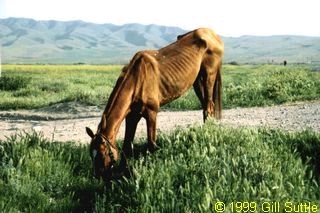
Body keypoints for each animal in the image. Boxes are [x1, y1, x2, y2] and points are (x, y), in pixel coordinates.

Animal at [86, 27, 224, 180]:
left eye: (103, 153)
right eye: (91, 154)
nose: (99, 177)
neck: (137, 79)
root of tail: (213, 34)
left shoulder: (151, 113)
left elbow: (151, 144)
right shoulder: (132, 116)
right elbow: (127, 145)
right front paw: (124, 172)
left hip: (208, 76)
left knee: (209, 107)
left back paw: (208, 132)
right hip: (197, 81)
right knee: (206, 107)